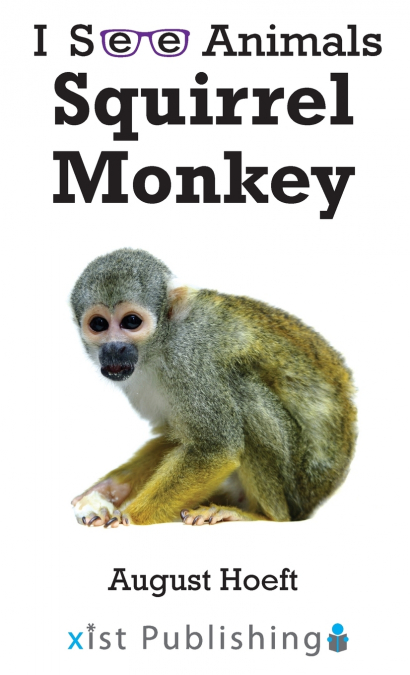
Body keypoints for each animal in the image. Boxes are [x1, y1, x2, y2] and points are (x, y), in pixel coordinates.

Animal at [70, 248, 356, 528]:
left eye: (131, 321)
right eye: (99, 324)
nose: (114, 348)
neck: (160, 345)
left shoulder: (189, 361)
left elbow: (216, 447)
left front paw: (129, 516)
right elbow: (172, 436)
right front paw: (109, 490)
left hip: (299, 482)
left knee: (243, 389)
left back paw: (262, 515)